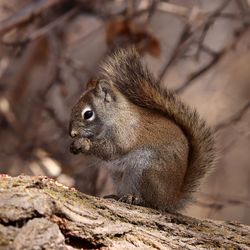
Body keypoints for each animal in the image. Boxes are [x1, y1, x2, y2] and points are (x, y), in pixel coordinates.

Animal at [69, 47, 216, 212]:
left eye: (88, 114)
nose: (72, 133)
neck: (114, 116)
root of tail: (172, 199)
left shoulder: (125, 133)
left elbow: (111, 150)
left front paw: (84, 144)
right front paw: (75, 145)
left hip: (146, 172)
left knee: (153, 203)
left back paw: (137, 199)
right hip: (120, 176)